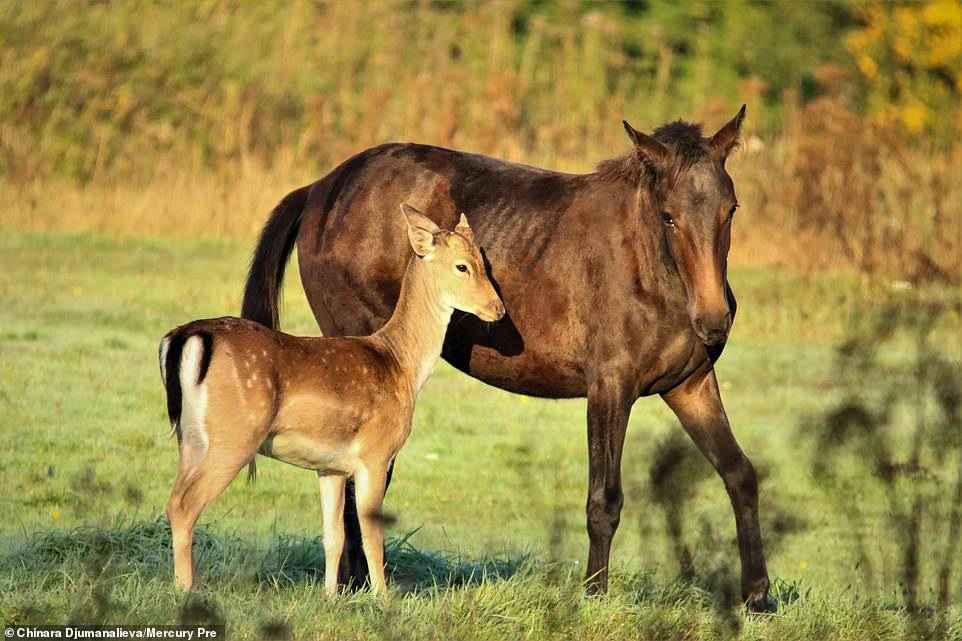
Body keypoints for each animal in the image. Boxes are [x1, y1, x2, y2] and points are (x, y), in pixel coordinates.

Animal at [242, 106, 772, 608]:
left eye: (731, 209)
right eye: (668, 216)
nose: (715, 320)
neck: (647, 266)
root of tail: (319, 189)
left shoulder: (690, 385)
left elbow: (739, 474)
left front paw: (758, 597)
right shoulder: (609, 388)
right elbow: (604, 500)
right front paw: (594, 596)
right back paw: (356, 582)